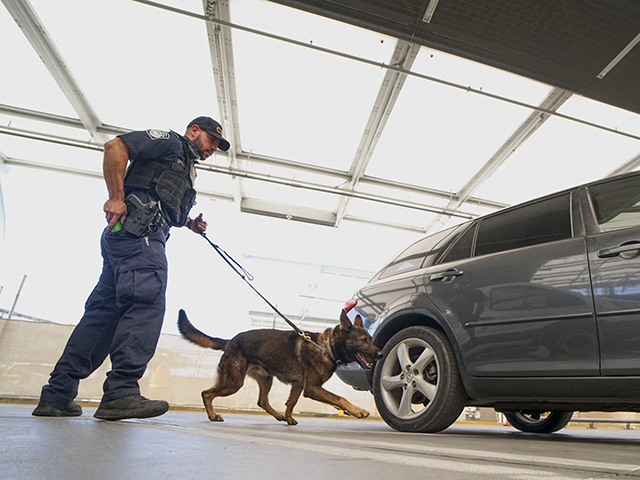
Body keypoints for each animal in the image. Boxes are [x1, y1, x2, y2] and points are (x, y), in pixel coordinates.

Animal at [178, 308, 382, 424]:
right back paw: (212, 415)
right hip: (233, 382)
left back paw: (278, 416)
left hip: (265, 379)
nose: (380, 354)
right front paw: (358, 411)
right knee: (206, 393)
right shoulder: (312, 388)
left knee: (262, 401)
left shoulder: (299, 386)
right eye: (363, 341)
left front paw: (289, 418)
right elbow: (339, 398)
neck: (326, 348)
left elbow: (291, 403)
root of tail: (229, 342)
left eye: (371, 339)